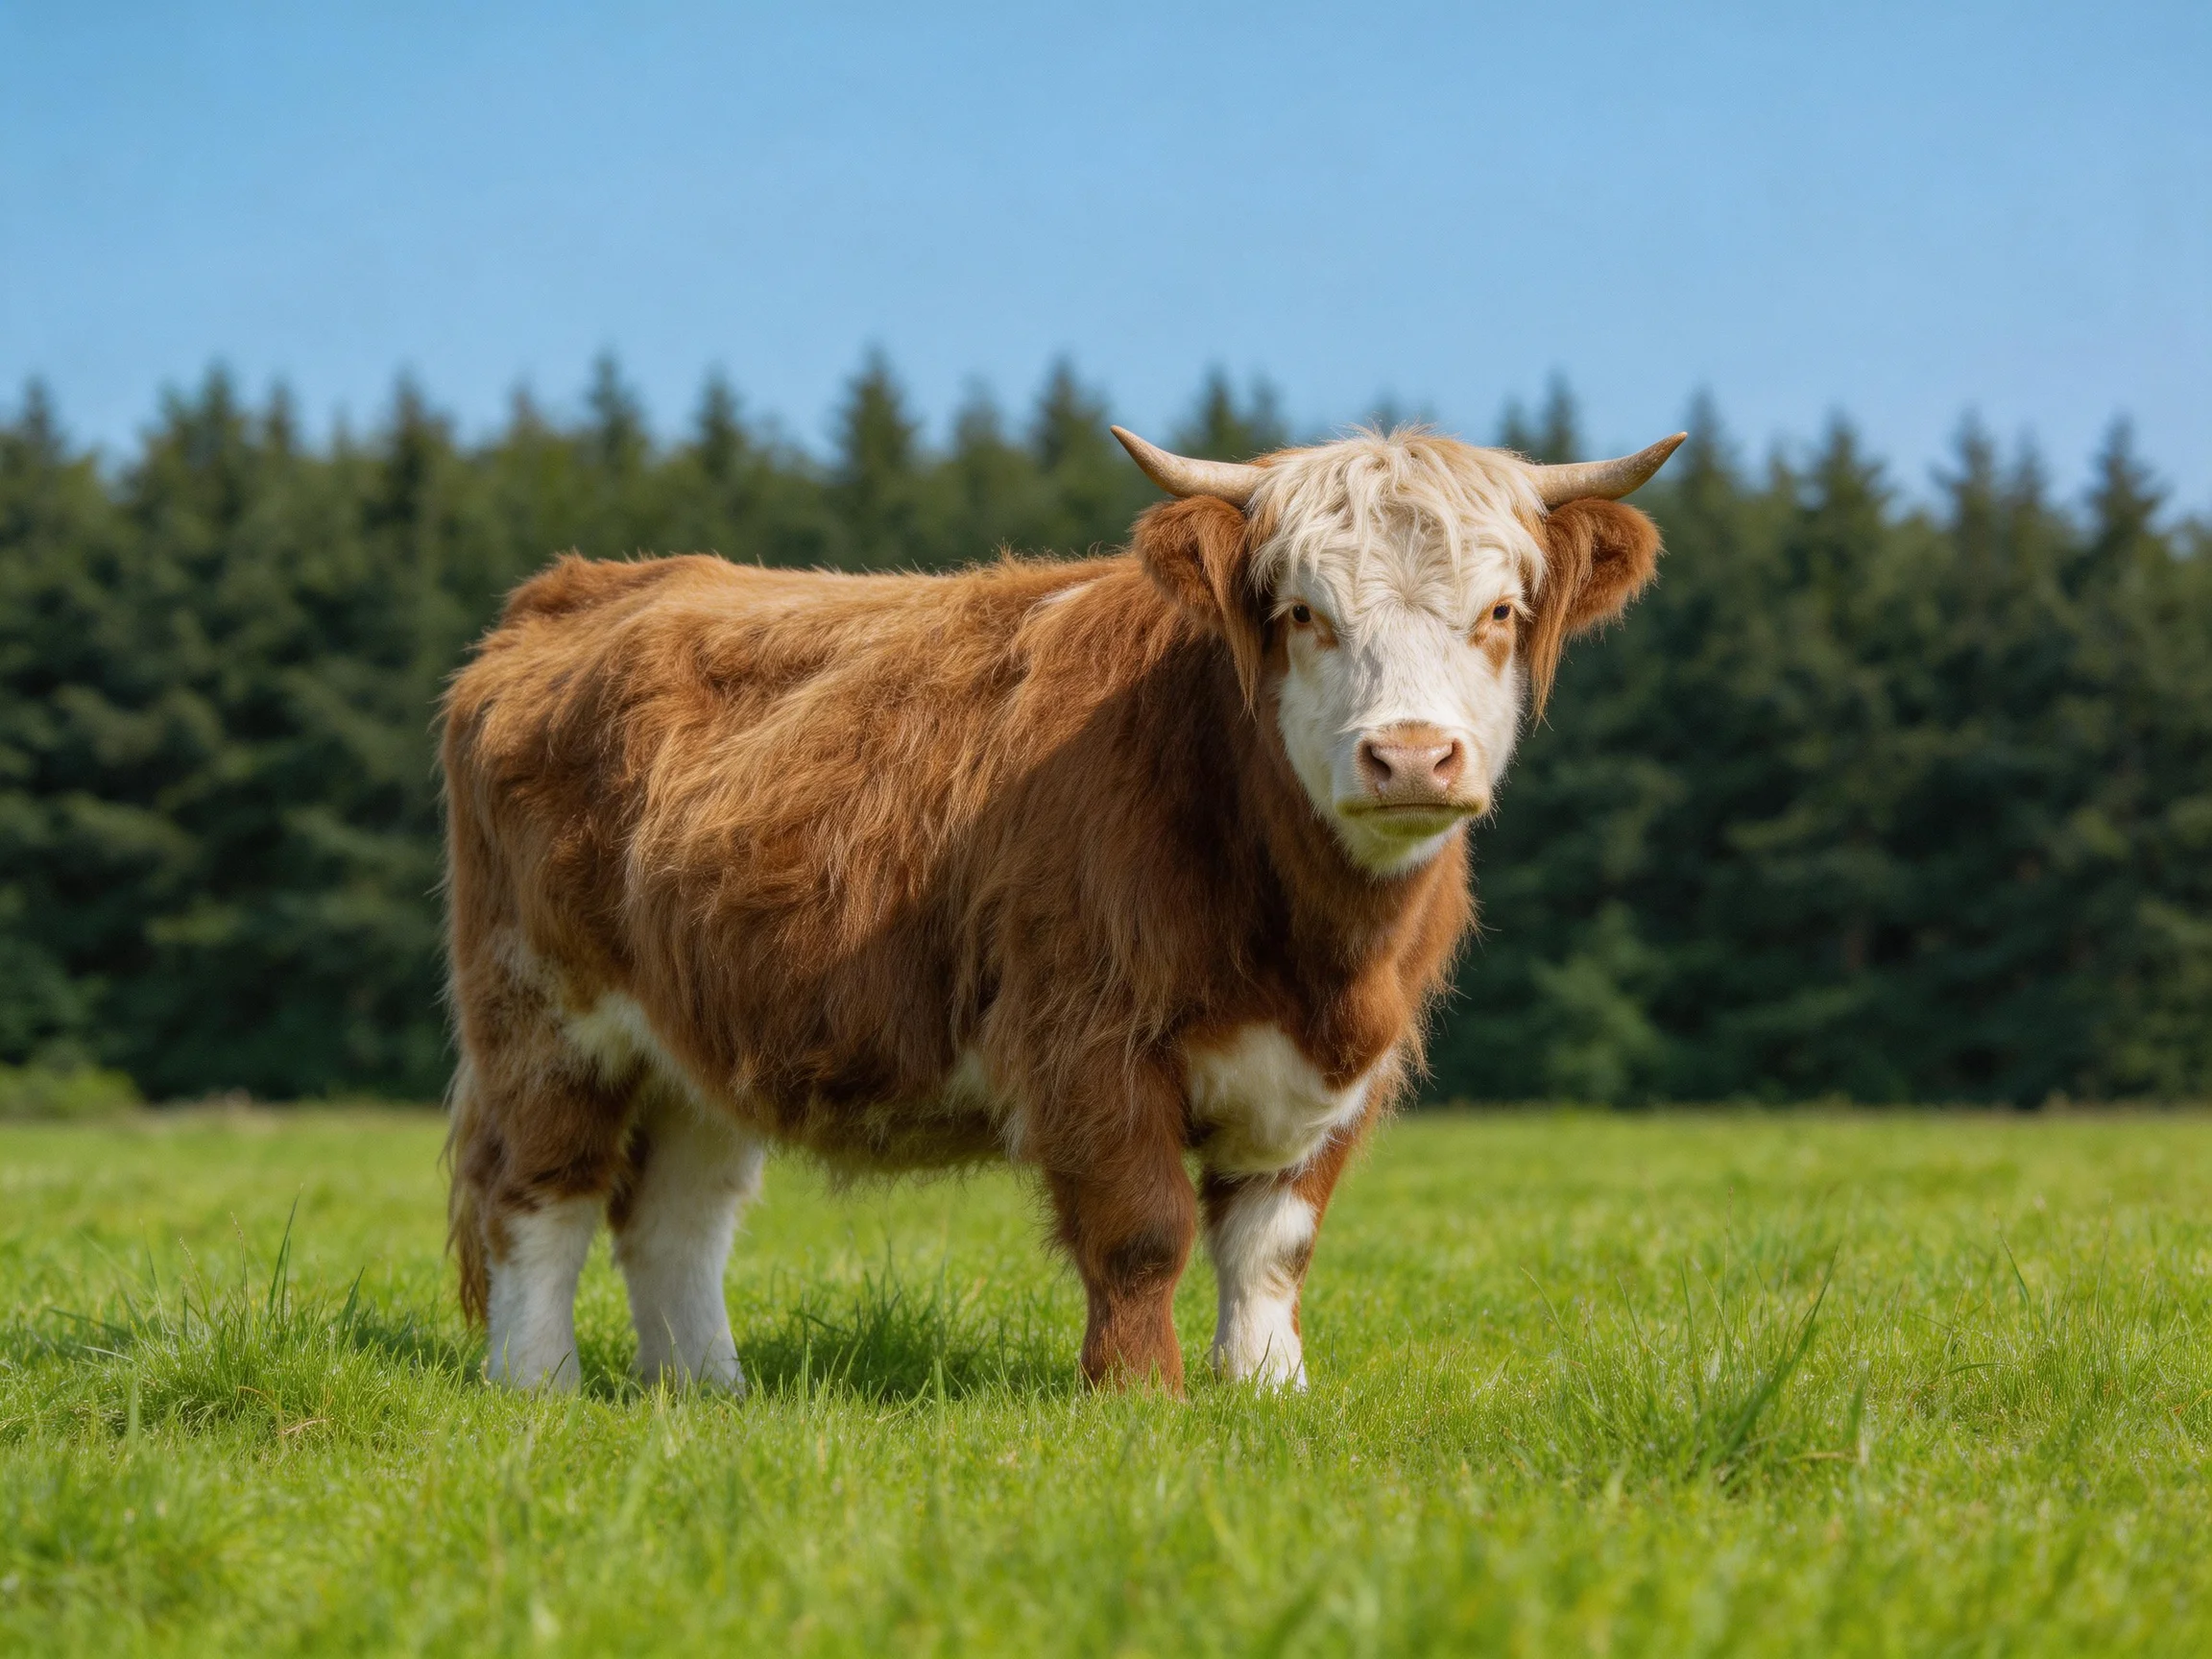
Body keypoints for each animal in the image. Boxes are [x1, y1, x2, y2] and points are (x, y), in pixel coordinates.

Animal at [441, 423, 1680, 1393]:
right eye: (1303, 613)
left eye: (1501, 612)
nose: (1412, 755)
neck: (1314, 954)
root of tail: (583, 587)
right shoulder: (1089, 1039)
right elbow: (1143, 1229)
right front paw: (1139, 1398)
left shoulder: (1341, 1074)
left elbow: (1272, 1242)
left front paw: (1267, 1391)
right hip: (544, 1013)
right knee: (539, 1195)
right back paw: (539, 1385)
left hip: (694, 1038)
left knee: (676, 1218)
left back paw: (706, 1391)